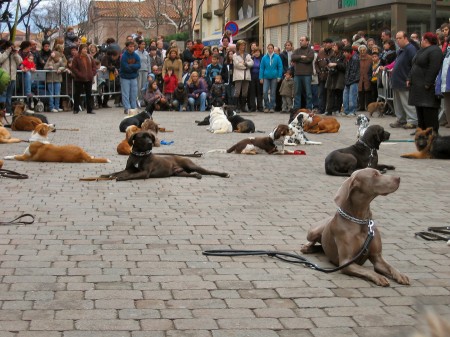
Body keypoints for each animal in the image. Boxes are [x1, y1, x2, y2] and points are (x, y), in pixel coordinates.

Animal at [100, 130, 230, 180]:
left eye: (150, 137)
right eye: (143, 137)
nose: (150, 143)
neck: (139, 155)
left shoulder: (145, 172)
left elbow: (131, 175)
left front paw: (122, 178)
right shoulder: (129, 169)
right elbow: (116, 172)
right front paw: (107, 175)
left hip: (191, 165)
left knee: (209, 171)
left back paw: (223, 174)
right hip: (179, 173)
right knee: (190, 174)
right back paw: (196, 175)